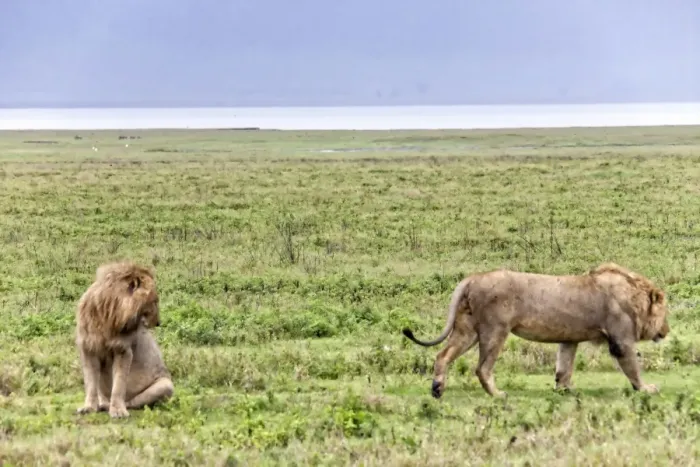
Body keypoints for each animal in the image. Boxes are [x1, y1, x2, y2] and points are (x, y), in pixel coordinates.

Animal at [75, 261, 174, 418]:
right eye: (155, 301)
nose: (159, 322)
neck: (107, 317)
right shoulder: (88, 349)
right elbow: (90, 383)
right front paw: (88, 408)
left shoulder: (123, 350)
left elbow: (119, 385)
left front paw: (118, 411)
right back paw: (102, 404)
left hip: (166, 384)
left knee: (133, 402)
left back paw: (112, 406)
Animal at [402, 262, 670, 398]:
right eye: (665, 312)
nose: (666, 331)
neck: (635, 295)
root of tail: (473, 277)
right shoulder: (621, 339)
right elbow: (632, 367)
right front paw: (646, 389)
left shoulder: (569, 338)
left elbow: (564, 366)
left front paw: (565, 390)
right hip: (495, 329)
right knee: (482, 368)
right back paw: (497, 394)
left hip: (467, 330)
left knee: (443, 355)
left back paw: (437, 389)